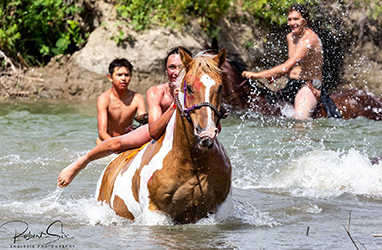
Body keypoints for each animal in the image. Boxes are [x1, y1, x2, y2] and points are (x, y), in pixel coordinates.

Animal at [95, 47, 233, 224]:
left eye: (220, 87)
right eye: (189, 87)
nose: (206, 133)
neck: (191, 161)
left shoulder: (220, 209)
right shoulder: (155, 212)